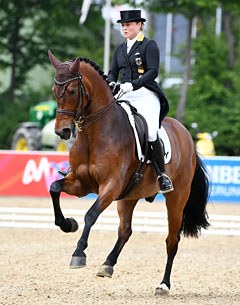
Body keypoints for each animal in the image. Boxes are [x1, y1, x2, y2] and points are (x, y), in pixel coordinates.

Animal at [47, 50, 209, 294]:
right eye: (54, 91)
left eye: (73, 91)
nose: (62, 131)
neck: (95, 134)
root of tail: (186, 134)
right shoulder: (80, 183)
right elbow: (55, 187)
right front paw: (68, 224)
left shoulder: (111, 186)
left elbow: (91, 214)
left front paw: (79, 253)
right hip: (129, 196)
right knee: (125, 231)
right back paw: (107, 264)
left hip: (176, 198)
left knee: (172, 240)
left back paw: (163, 285)